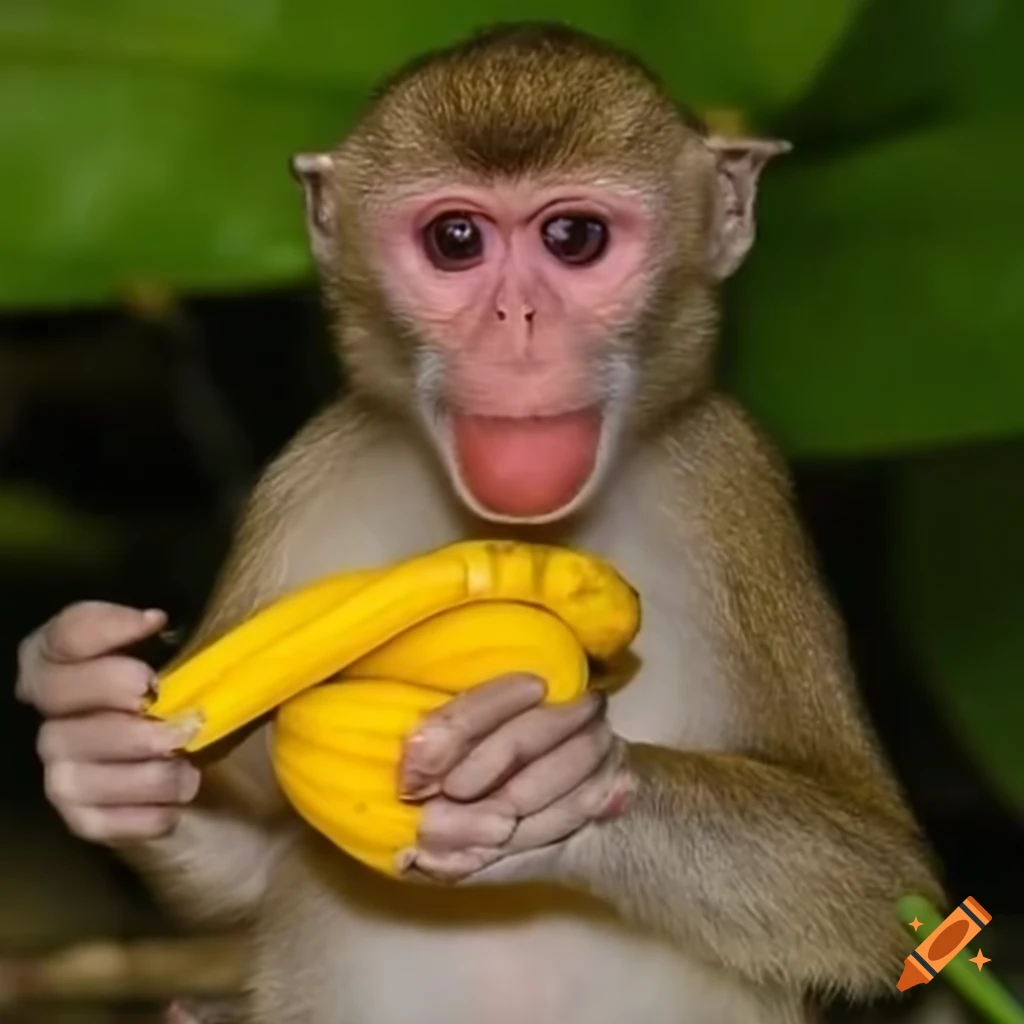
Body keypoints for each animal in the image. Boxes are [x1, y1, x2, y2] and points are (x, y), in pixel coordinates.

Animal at [16, 22, 941, 1024]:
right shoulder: (306, 484)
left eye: (574, 238)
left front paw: (561, 777)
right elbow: (249, 871)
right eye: (457, 239)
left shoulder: (731, 485)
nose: (516, 320)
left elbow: (886, 892)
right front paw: (98, 738)